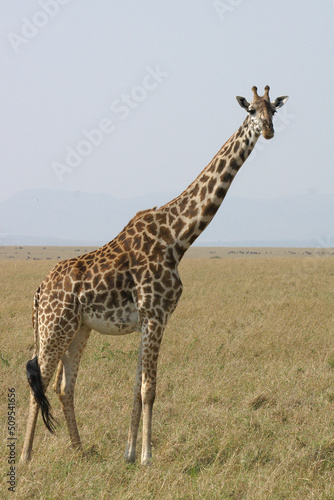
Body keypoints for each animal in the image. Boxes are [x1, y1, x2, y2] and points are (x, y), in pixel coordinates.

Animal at [20, 86, 288, 464]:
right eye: (251, 110)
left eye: (273, 110)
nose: (267, 130)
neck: (179, 236)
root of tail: (39, 290)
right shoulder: (156, 314)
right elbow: (149, 388)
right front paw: (148, 457)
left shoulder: (149, 320)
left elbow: (136, 387)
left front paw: (130, 454)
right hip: (53, 326)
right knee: (39, 382)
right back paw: (26, 458)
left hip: (78, 328)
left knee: (63, 385)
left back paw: (80, 450)